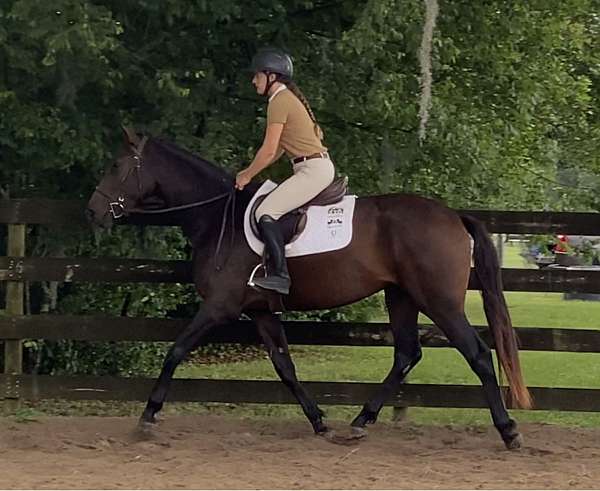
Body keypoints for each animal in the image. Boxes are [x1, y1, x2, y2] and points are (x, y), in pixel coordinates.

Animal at [86, 127, 532, 450]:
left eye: (116, 165)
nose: (92, 211)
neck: (216, 217)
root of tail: (453, 216)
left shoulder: (219, 306)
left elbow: (175, 351)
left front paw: (147, 417)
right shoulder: (261, 311)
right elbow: (285, 367)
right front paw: (319, 421)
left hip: (438, 302)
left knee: (477, 354)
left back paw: (509, 430)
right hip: (401, 297)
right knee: (407, 353)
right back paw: (360, 422)